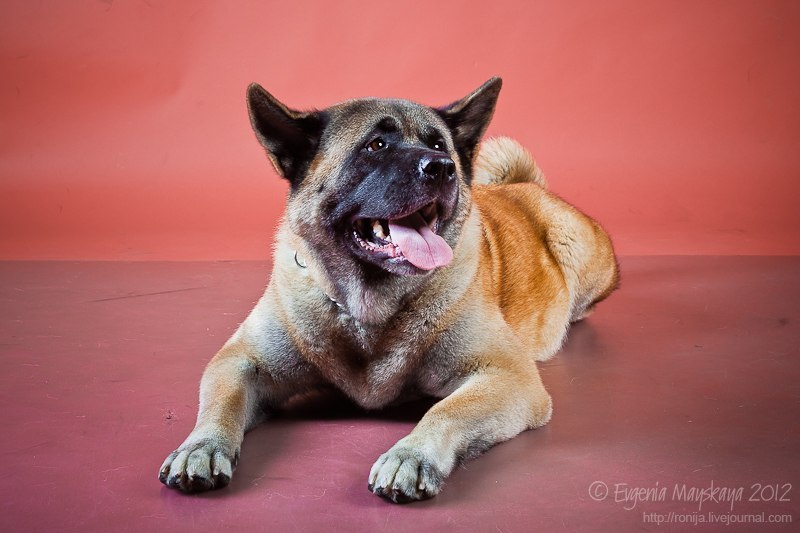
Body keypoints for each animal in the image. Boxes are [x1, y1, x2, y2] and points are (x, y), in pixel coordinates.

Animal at [158, 78, 619, 503]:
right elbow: (222, 402)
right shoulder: (239, 362)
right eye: (376, 145)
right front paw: (201, 446)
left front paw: (412, 455)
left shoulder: (507, 376)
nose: (443, 167)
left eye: (440, 144)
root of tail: (526, 187)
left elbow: (446, 410)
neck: (367, 311)